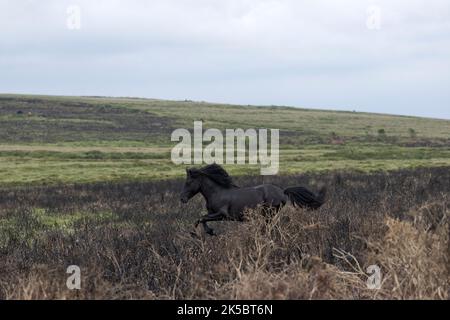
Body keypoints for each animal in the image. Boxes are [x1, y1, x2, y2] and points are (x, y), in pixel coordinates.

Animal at [180, 165, 326, 235]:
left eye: (188, 182)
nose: (182, 199)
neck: (217, 192)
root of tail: (282, 191)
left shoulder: (222, 214)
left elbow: (201, 218)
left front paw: (195, 233)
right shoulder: (213, 214)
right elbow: (202, 218)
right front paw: (209, 232)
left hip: (269, 213)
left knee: (269, 227)